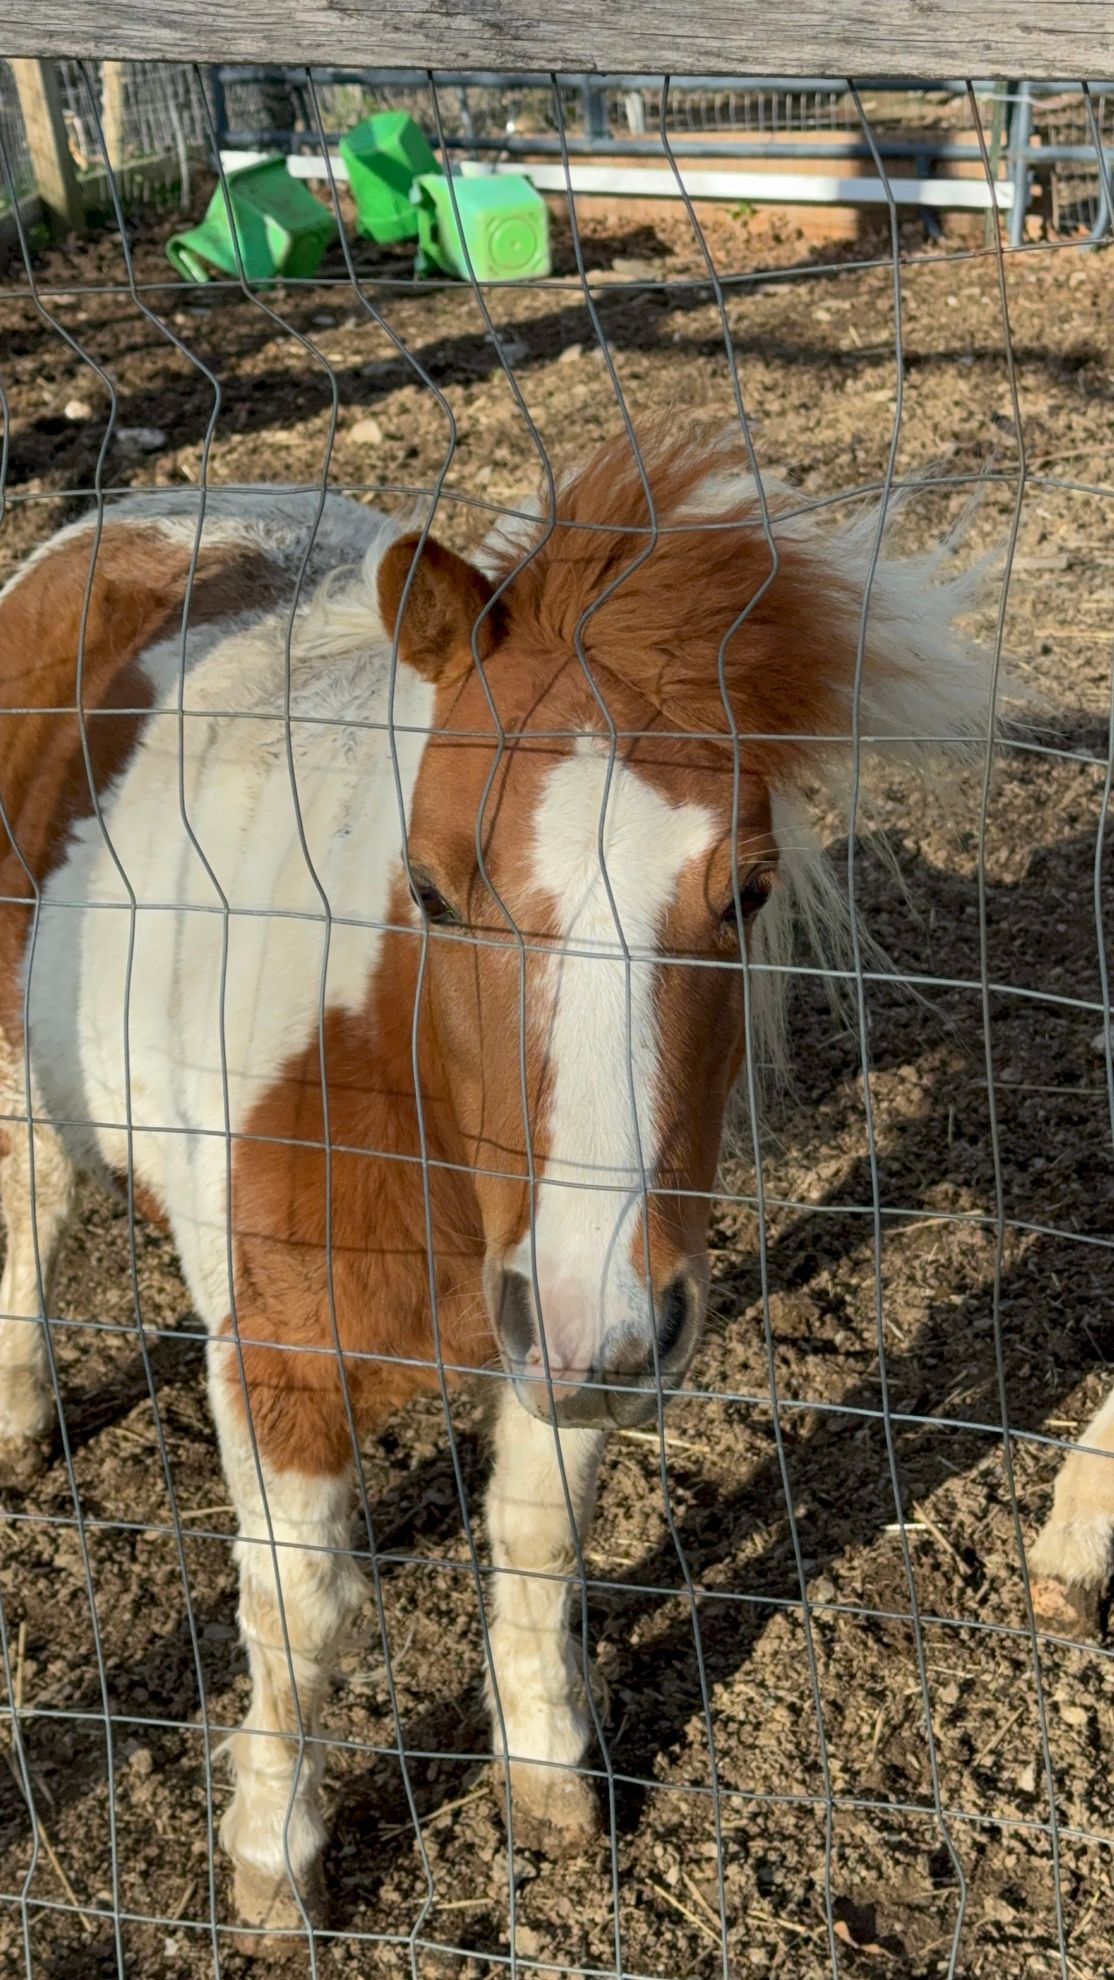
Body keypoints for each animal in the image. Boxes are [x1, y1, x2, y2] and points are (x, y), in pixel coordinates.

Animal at [0, 426, 1009, 1941]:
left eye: (747, 894)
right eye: (428, 889)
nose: (605, 1317)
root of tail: (128, 518)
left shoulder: (570, 1330)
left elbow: (536, 1548)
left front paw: (551, 1785)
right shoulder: (277, 1364)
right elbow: (301, 1620)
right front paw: (272, 1863)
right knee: (38, 1205)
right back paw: (18, 1408)